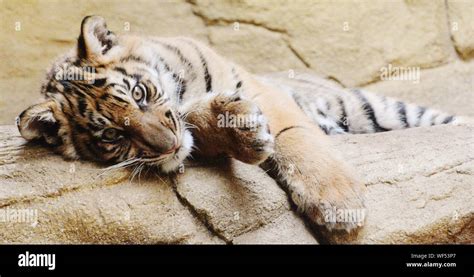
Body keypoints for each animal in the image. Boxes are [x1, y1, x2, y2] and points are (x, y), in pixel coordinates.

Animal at [14, 15, 466, 233]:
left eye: (139, 94)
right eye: (113, 134)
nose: (166, 146)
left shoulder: (261, 89)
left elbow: (295, 138)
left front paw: (338, 204)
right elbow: (201, 125)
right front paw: (238, 131)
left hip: (373, 106)